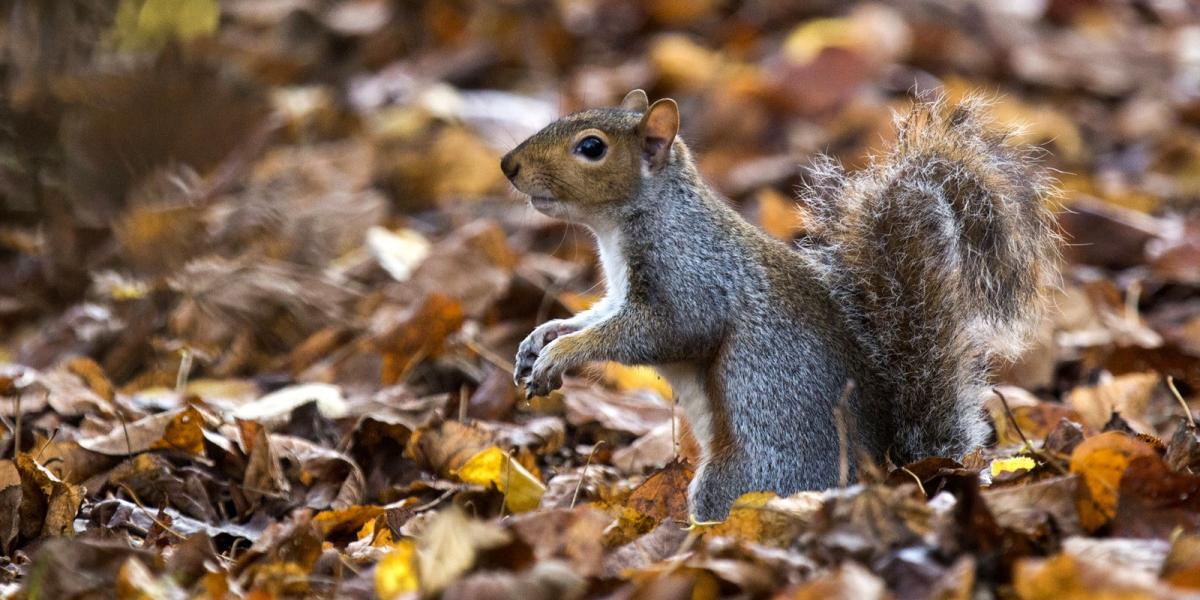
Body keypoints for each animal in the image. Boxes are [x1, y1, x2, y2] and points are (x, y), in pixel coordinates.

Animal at [496, 88, 1060, 520]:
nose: (508, 165)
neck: (628, 223)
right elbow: (597, 317)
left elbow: (665, 330)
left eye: (591, 147)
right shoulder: (619, 293)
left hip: (747, 474)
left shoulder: (693, 278)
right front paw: (544, 337)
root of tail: (890, 472)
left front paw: (561, 354)